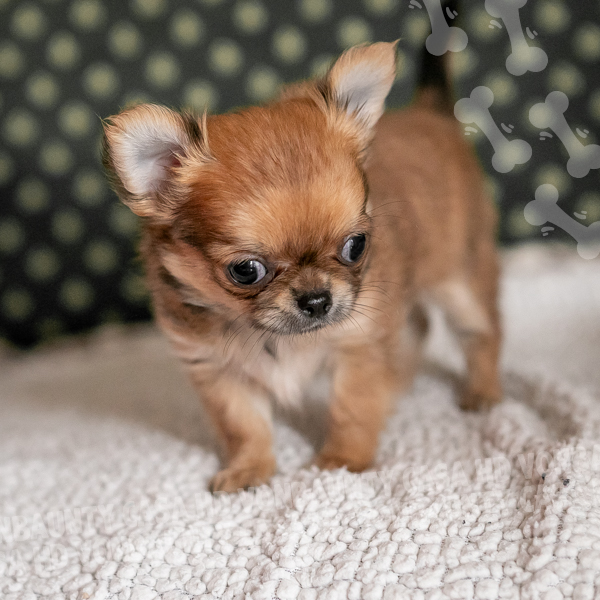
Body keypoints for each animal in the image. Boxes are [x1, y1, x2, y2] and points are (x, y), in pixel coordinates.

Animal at [103, 35, 501, 493]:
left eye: (357, 246)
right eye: (246, 271)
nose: (317, 300)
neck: (273, 337)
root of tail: (430, 112)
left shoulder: (358, 344)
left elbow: (352, 408)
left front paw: (343, 461)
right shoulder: (217, 369)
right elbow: (243, 425)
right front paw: (249, 469)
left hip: (460, 278)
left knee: (481, 331)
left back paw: (482, 392)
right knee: (417, 325)